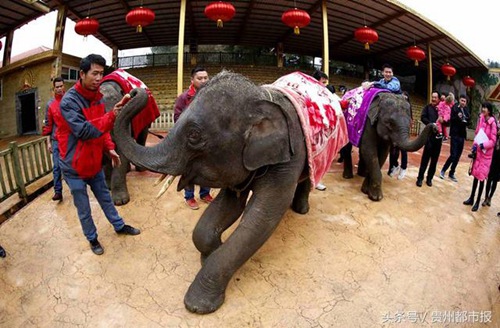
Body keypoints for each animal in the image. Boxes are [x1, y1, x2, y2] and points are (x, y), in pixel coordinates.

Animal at [98, 70, 159, 206]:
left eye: (116, 100)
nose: (131, 94)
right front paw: (108, 187)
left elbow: (121, 153)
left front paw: (121, 202)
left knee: (142, 136)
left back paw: (140, 169)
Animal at [114, 71, 348, 312]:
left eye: (194, 135)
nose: (132, 92)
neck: (261, 98)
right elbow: (228, 206)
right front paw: (209, 254)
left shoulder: (289, 156)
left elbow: (260, 219)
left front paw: (197, 305)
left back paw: (301, 209)